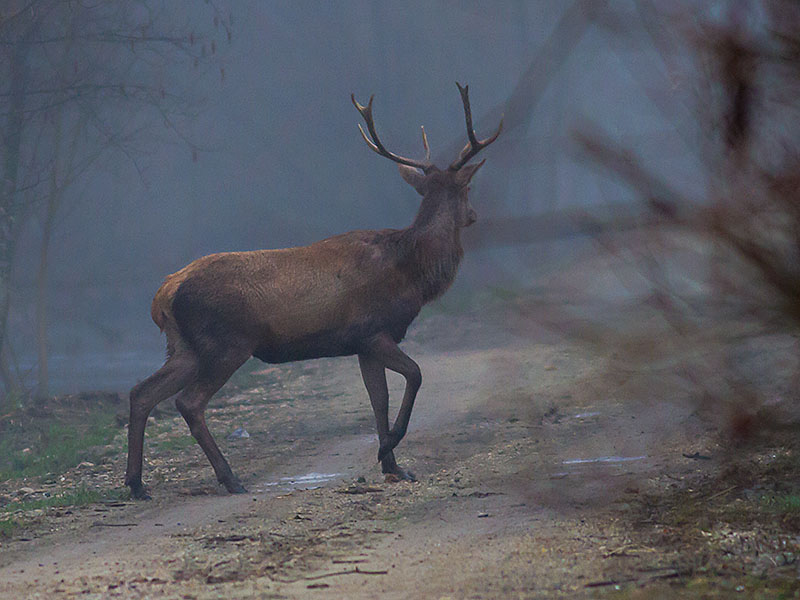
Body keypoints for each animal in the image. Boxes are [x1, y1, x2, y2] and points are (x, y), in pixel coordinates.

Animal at [124, 83, 500, 496]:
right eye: (468, 188)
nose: (474, 216)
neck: (411, 271)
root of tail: (163, 295)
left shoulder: (361, 344)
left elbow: (379, 400)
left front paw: (394, 466)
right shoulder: (374, 329)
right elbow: (415, 375)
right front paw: (390, 446)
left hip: (184, 346)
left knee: (142, 392)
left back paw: (137, 484)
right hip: (227, 342)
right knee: (188, 402)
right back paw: (230, 478)